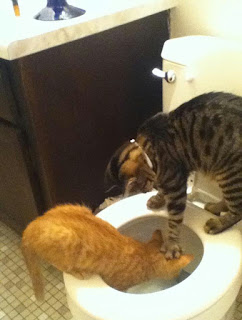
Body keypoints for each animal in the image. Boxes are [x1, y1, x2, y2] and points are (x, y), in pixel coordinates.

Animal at [21, 205, 193, 300]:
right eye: (177, 271)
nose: (178, 277)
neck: (145, 254)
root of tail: (31, 226)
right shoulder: (118, 285)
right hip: (66, 240)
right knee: (62, 266)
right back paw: (80, 273)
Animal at [106, 92, 242, 260]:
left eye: (141, 188)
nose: (145, 191)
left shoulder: (176, 185)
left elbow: (174, 220)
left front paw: (171, 244)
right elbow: (162, 190)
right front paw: (158, 198)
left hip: (229, 173)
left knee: (238, 209)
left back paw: (217, 223)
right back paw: (215, 206)